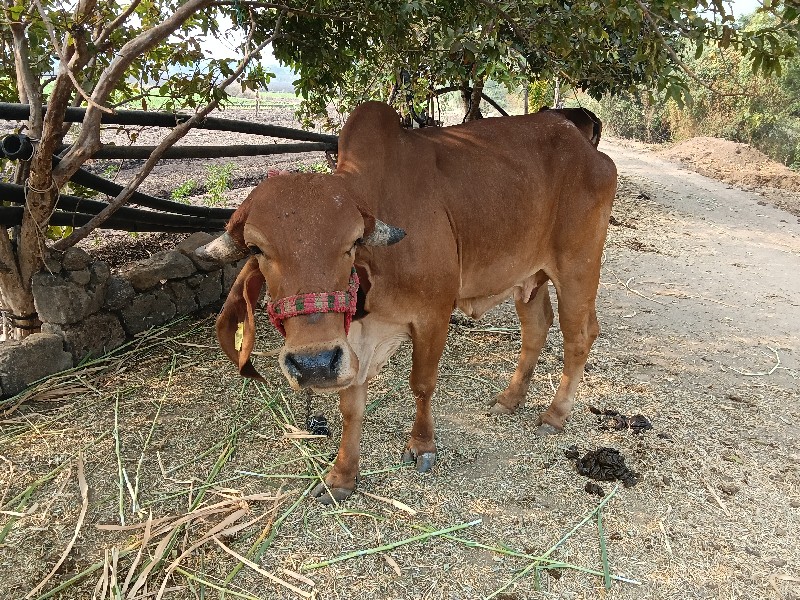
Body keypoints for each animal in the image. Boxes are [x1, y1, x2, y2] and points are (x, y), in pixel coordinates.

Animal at [198, 101, 620, 504]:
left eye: (352, 243)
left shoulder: (433, 315)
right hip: (528, 277)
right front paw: (341, 476)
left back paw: (555, 414)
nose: (313, 363)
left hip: (578, 268)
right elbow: (351, 407)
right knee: (537, 328)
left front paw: (422, 445)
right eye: (257, 249)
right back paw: (510, 399)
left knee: (579, 337)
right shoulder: (353, 339)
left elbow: (422, 384)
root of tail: (583, 143)